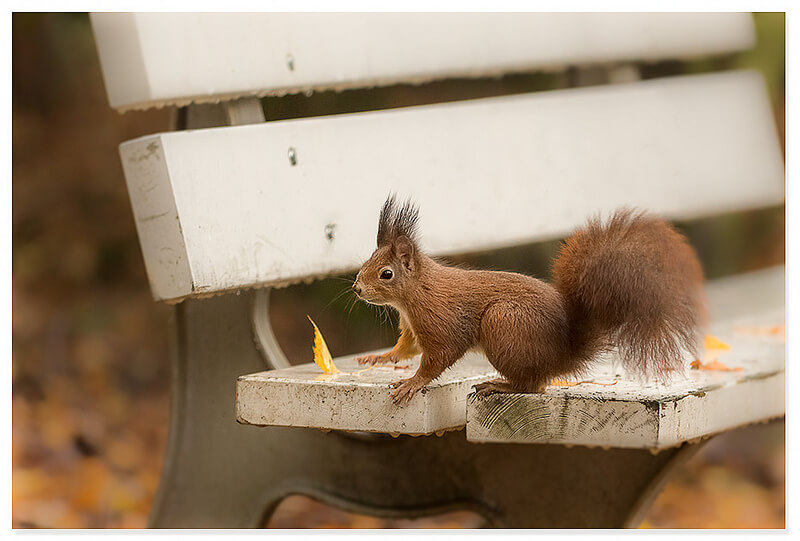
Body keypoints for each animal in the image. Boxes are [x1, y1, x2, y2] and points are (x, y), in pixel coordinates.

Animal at [353, 195, 707, 404]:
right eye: (366, 261)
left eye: (386, 274)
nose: (356, 288)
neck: (415, 293)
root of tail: (564, 353)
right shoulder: (413, 328)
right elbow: (407, 348)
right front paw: (380, 357)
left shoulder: (440, 319)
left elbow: (440, 355)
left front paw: (413, 382)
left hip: (503, 324)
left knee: (533, 386)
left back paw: (500, 385)